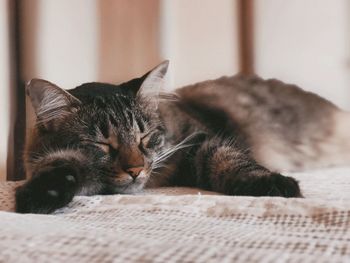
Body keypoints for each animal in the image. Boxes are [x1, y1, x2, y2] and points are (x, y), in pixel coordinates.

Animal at [15, 61, 350, 214]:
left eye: (145, 137)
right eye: (103, 144)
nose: (135, 170)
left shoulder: (202, 140)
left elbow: (229, 159)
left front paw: (274, 185)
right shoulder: (54, 157)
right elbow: (61, 163)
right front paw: (41, 193)